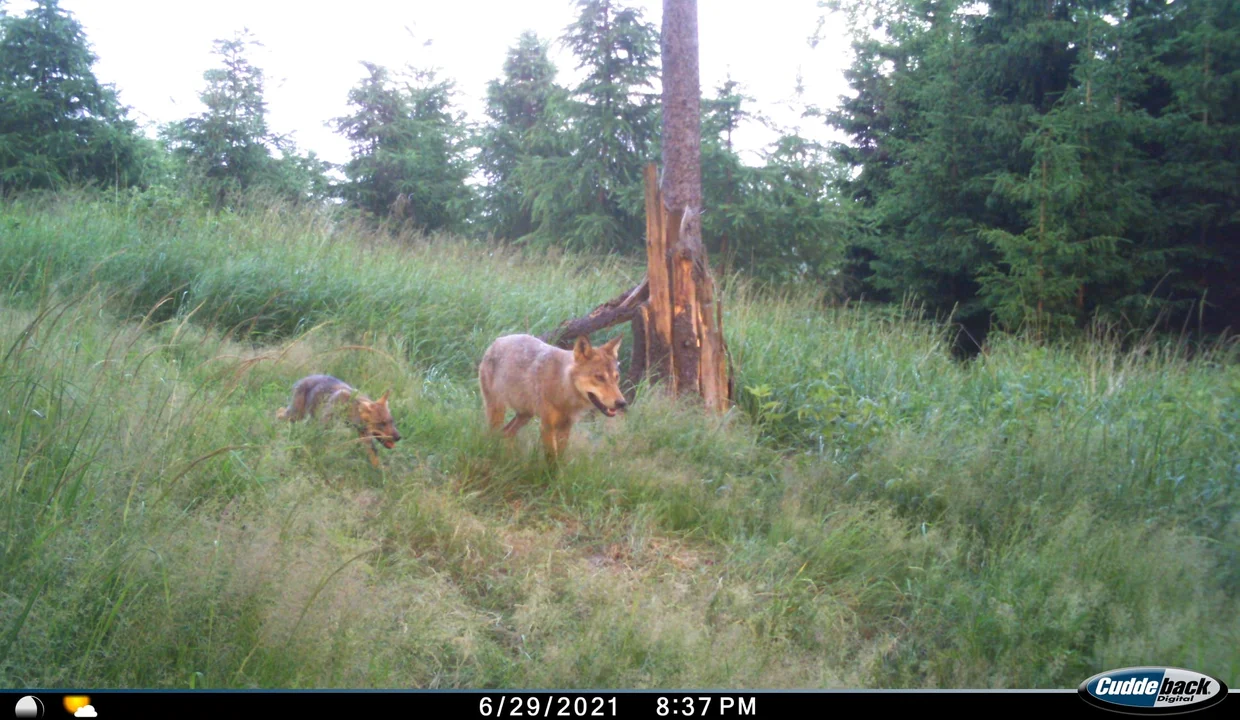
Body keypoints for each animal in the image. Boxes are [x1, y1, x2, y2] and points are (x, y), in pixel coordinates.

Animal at [476, 332, 629, 458]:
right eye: (599, 377)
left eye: (616, 377)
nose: (622, 403)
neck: (563, 391)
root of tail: (496, 341)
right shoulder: (547, 426)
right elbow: (552, 460)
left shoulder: (565, 427)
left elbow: (559, 460)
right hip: (498, 411)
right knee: (493, 434)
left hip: (525, 415)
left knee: (506, 433)